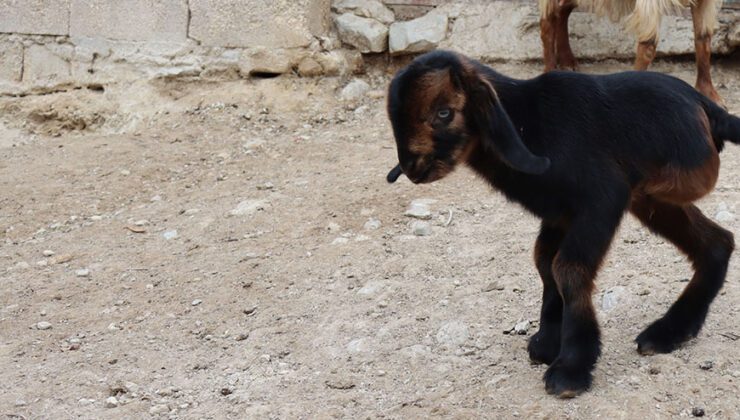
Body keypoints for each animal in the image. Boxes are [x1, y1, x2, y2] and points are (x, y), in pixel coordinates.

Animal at [388, 50, 740, 398]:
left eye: (444, 112)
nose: (412, 167)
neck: (528, 122)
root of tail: (708, 110)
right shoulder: (561, 214)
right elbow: (544, 262)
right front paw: (547, 342)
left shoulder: (602, 200)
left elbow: (567, 269)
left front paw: (571, 367)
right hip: (653, 199)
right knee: (717, 242)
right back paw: (671, 331)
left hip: (659, 187)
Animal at [536, 0, 724, 104]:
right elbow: (648, 47)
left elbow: (703, 40)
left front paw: (710, 94)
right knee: (548, 18)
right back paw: (550, 70)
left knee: (562, 10)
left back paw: (567, 61)